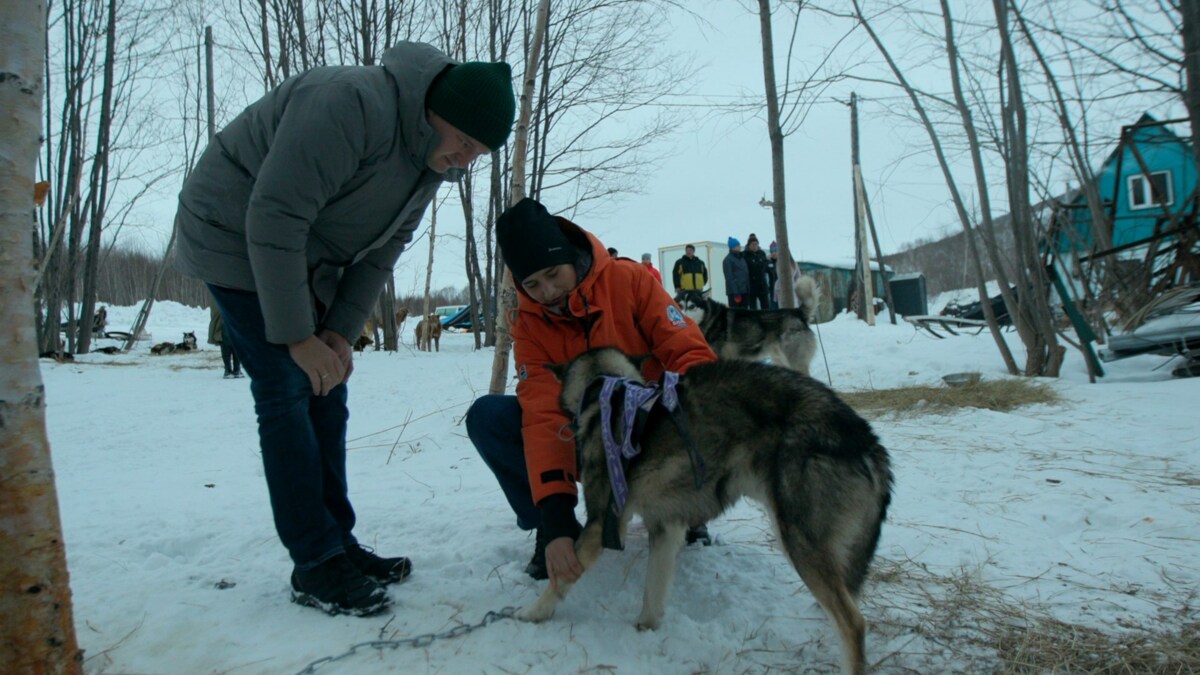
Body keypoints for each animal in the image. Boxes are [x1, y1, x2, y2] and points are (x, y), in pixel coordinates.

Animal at [520, 345, 897, 672]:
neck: (610, 390)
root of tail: (867, 440)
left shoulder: (603, 523)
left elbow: (560, 582)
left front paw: (530, 614)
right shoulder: (666, 529)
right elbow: (653, 592)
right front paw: (644, 628)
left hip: (799, 544)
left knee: (853, 624)